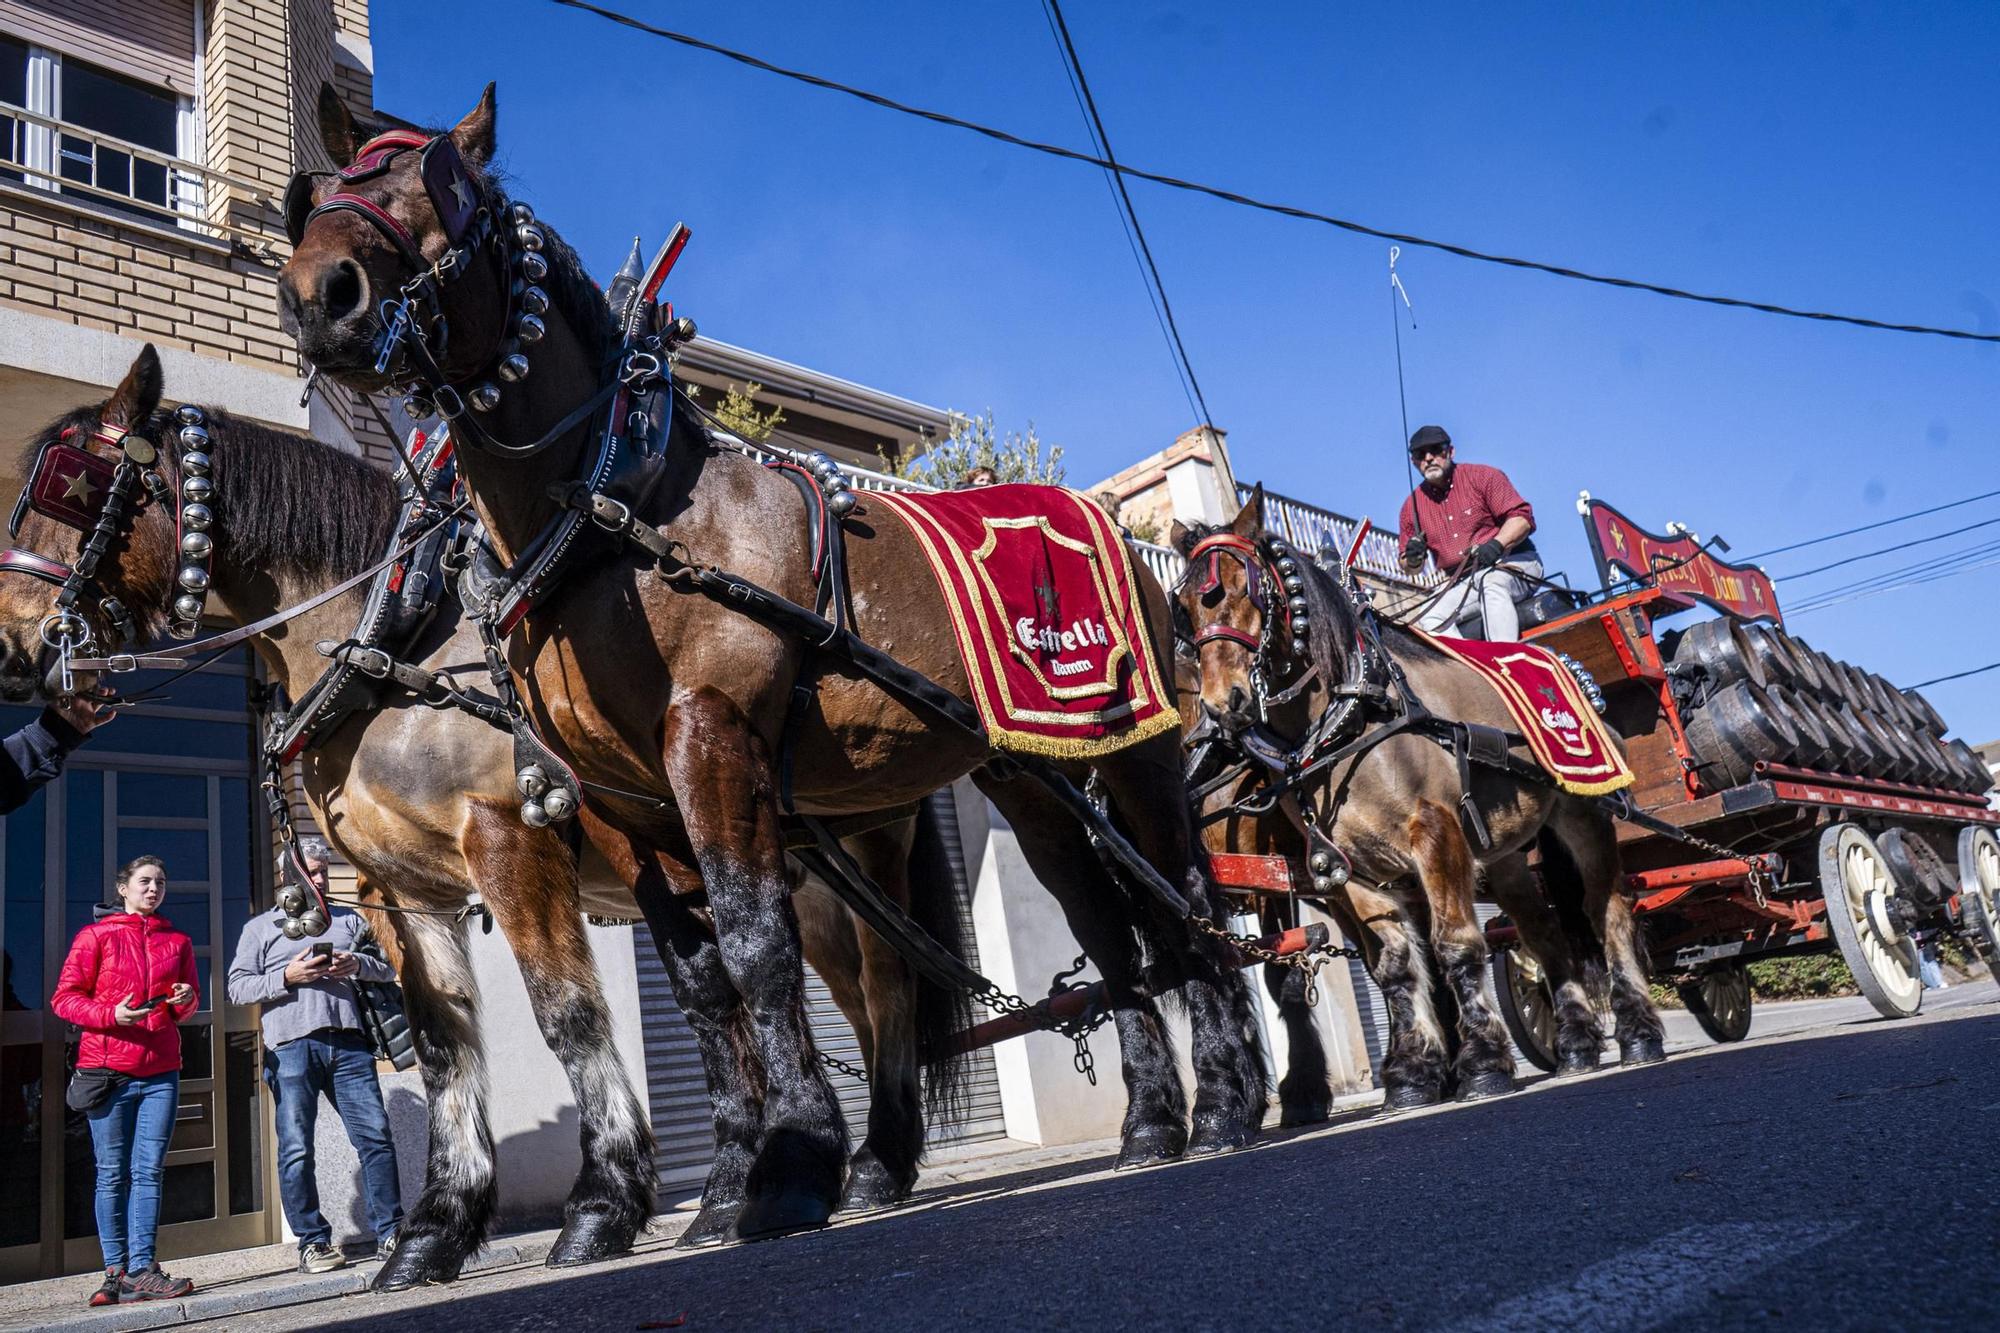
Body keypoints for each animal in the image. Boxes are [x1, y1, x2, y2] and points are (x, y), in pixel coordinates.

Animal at [0, 348, 972, 1280]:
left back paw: (863, 1165)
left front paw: (601, 1203)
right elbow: (442, 1046)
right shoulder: (397, 890)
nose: (11, 643)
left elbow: (567, 1015)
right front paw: (435, 1229)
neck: (395, 638)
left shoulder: (508, 839)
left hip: (847, 846)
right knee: (841, 995)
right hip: (797, 868)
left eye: (64, 481)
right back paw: (798, 1180)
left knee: (886, 983)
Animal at [278, 83, 1264, 1264]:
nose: (320, 295)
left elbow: (755, 949)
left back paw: (1224, 1101)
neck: (622, 506)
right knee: (1099, 923)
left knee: (1180, 899)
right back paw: (1151, 1120)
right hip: (1026, 774)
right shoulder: (629, 802)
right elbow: (704, 979)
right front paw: (737, 1181)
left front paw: (790, 1165)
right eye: (323, 193)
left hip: (1137, 754)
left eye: (445, 187)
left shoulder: (708, 739)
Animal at [1168, 492, 1664, 1096]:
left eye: (1248, 587)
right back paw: (1574, 1044)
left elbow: (1456, 946)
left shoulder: (1435, 833)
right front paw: (1412, 1072)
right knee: (1542, 931)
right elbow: (1396, 963)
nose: (1225, 704)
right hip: (1502, 850)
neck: (1352, 712)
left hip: (1584, 811)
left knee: (1606, 910)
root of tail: (1567, 665)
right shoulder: (1348, 869)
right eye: (1184, 609)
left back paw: (1638, 1032)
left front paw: (1481, 1062)